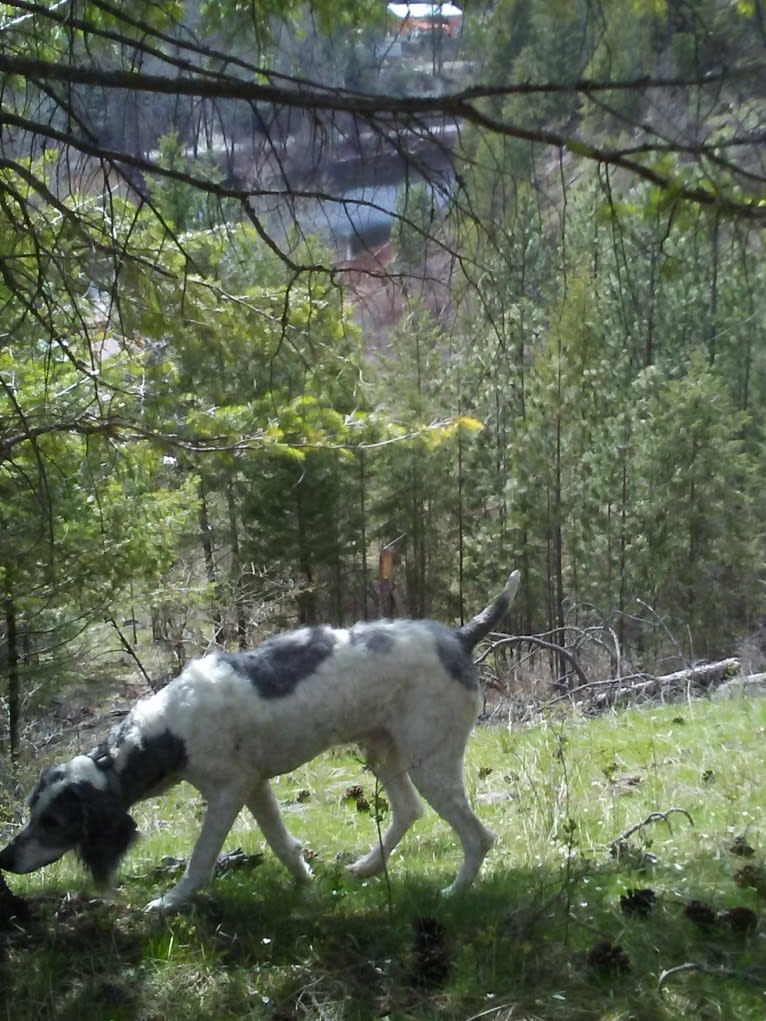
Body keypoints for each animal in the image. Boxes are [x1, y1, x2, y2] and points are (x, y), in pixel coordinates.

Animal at [0, 571, 518, 914]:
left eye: (53, 822)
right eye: (31, 811)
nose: (5, 858)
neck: (165, 733)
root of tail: (458, 636)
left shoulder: (227, 794)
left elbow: (201, 859)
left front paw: (171, 902)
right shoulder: (256, 786)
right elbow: (282, 843)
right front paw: (306, 882)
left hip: (429, 760)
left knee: (478, 836)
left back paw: (454, 893)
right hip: (383, 751)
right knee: (409, 810)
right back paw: (367, 867)